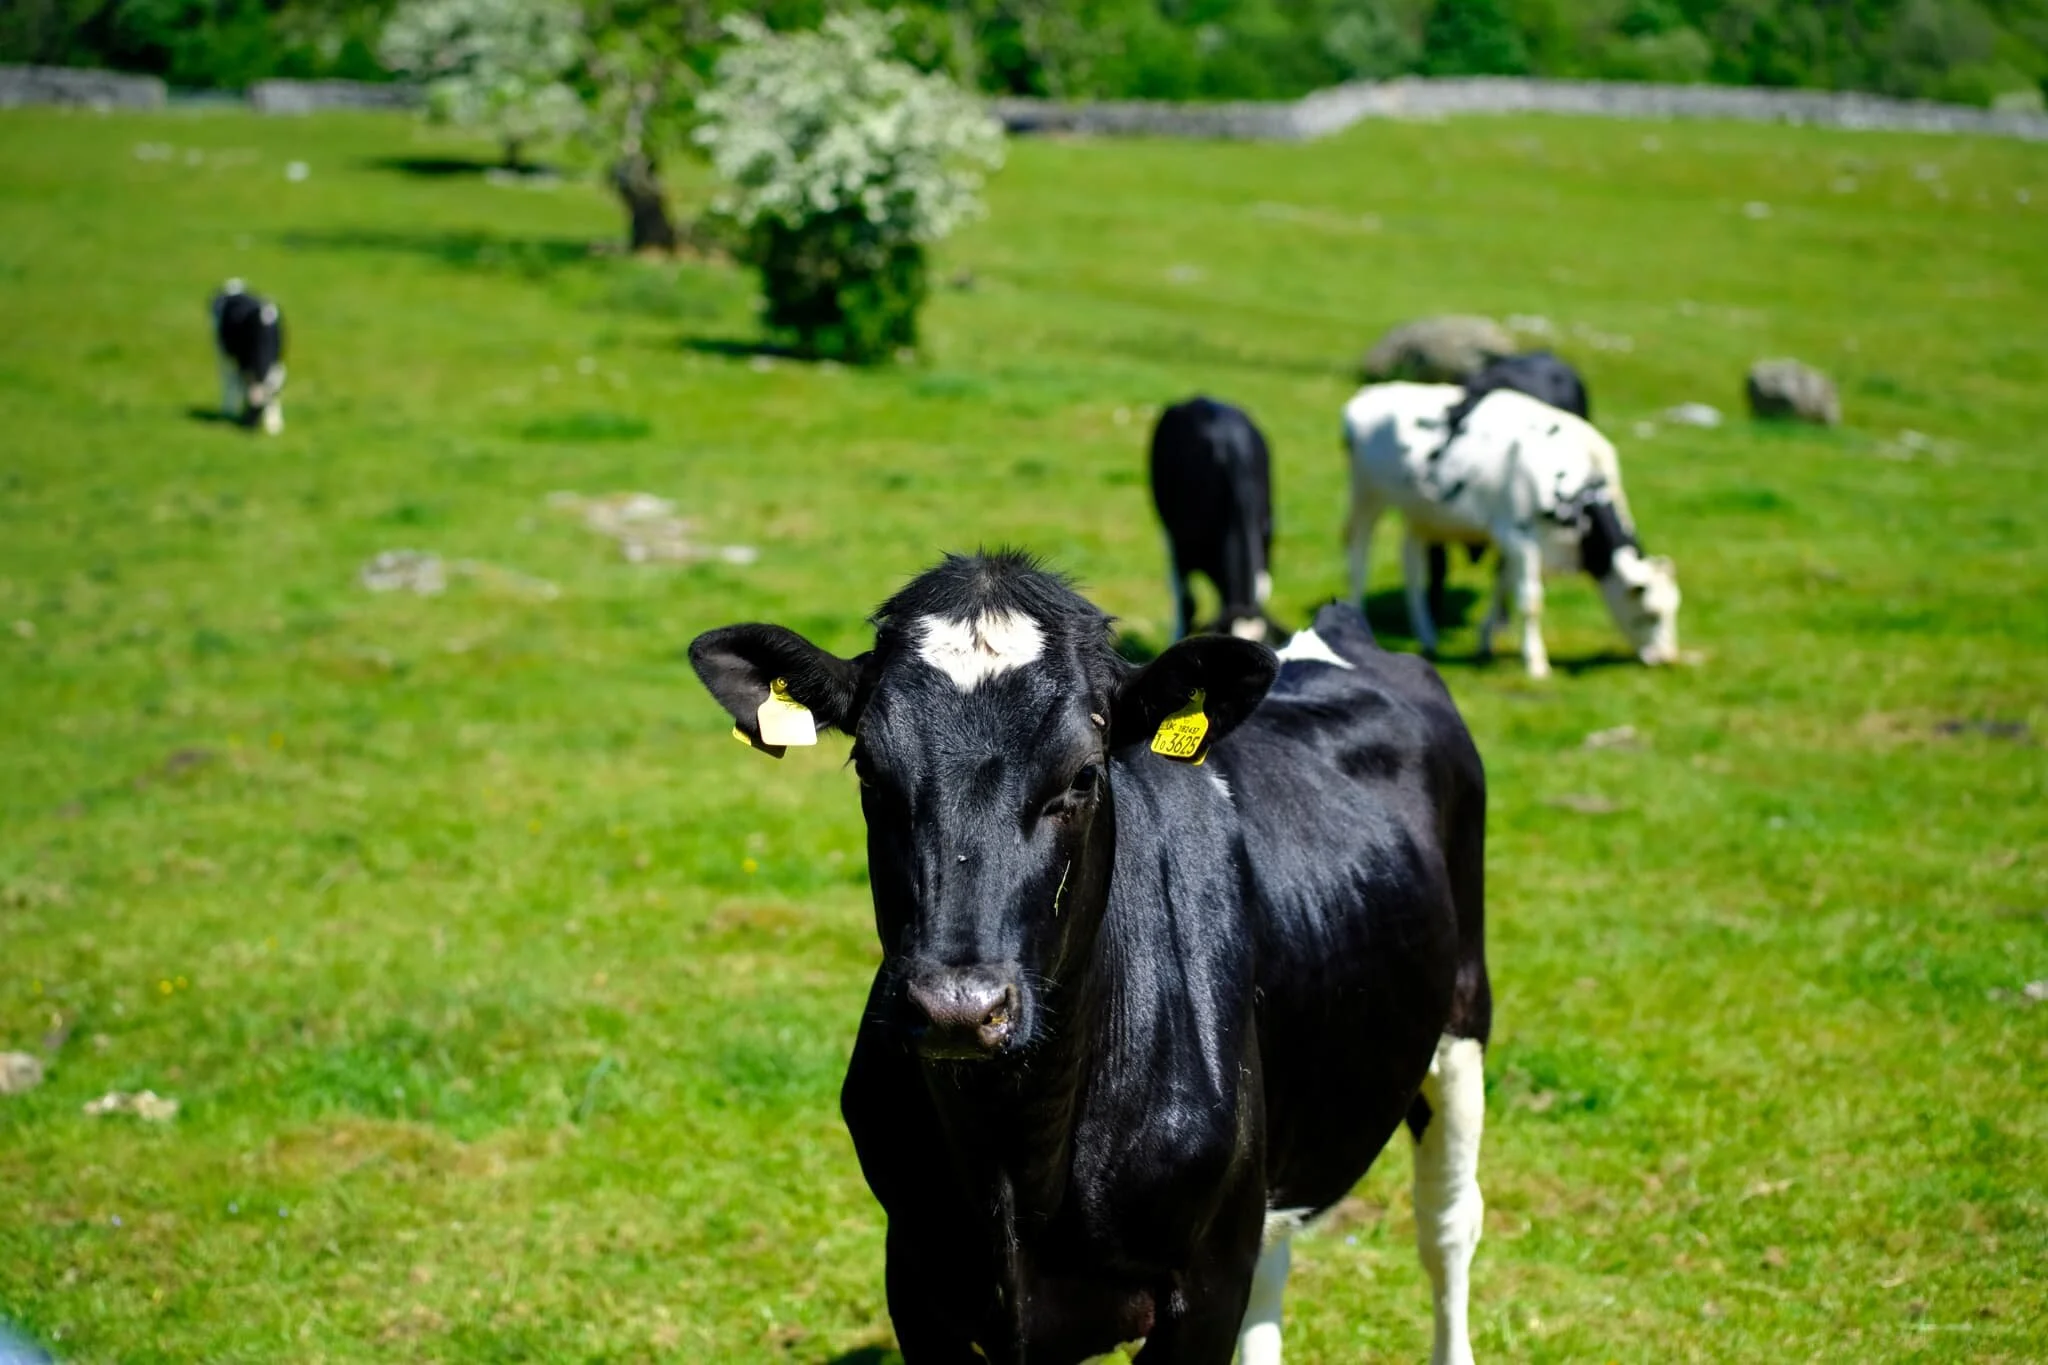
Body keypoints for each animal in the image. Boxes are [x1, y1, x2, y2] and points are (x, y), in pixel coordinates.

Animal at [210, 279, 286, 433]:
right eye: (248, 406)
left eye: (261, 409)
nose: (249, 429)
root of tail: (234, 283)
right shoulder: (243, 361)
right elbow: (240, 384)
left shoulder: (278, 363)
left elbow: (274, 389)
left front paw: (274, 424)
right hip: (222, 350)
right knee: (229, 379)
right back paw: (228, 409)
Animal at [690, 551, 1490, 1365]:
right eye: (869, 772)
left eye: (1082, 774)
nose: (958, 1007)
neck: (1018, 1161)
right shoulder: (916, 1274)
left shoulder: (1206, 1284)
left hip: (1463, 1017)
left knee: (1448, 1226)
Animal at [1344, 383, 1679, 679]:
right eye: (1651, 613)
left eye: (1673, 610)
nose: (1667, 659)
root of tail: (1368, 394)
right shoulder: (1520, 538)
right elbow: (1530, 601)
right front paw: (1536, 662)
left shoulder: (1519, 544)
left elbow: (1501, 587)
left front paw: (1485, 643)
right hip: (1366, 494)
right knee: (1358, 556)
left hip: (1420, 513)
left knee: (1412, 568)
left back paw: (1427, 636)